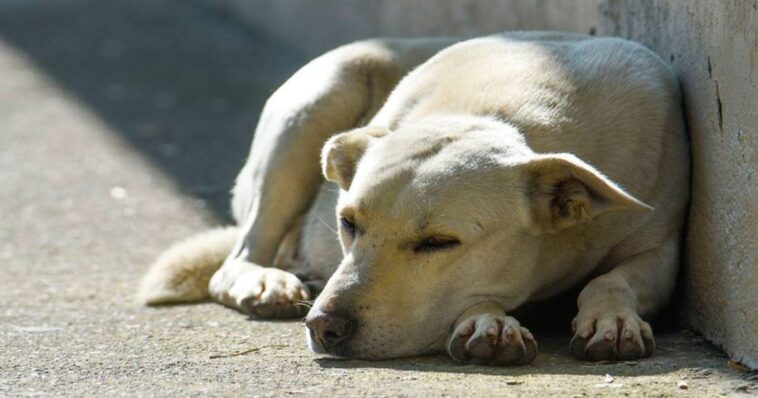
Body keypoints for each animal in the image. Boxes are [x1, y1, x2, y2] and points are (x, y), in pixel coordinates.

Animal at [140, 31, 692, 366]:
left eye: (439, 243)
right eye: (348, 223)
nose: (324, 325)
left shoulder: (661, 248)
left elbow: (613, 278)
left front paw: (612, 318)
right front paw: (489, 321)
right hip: (319, 98)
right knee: (237, 258)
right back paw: (265, 280)